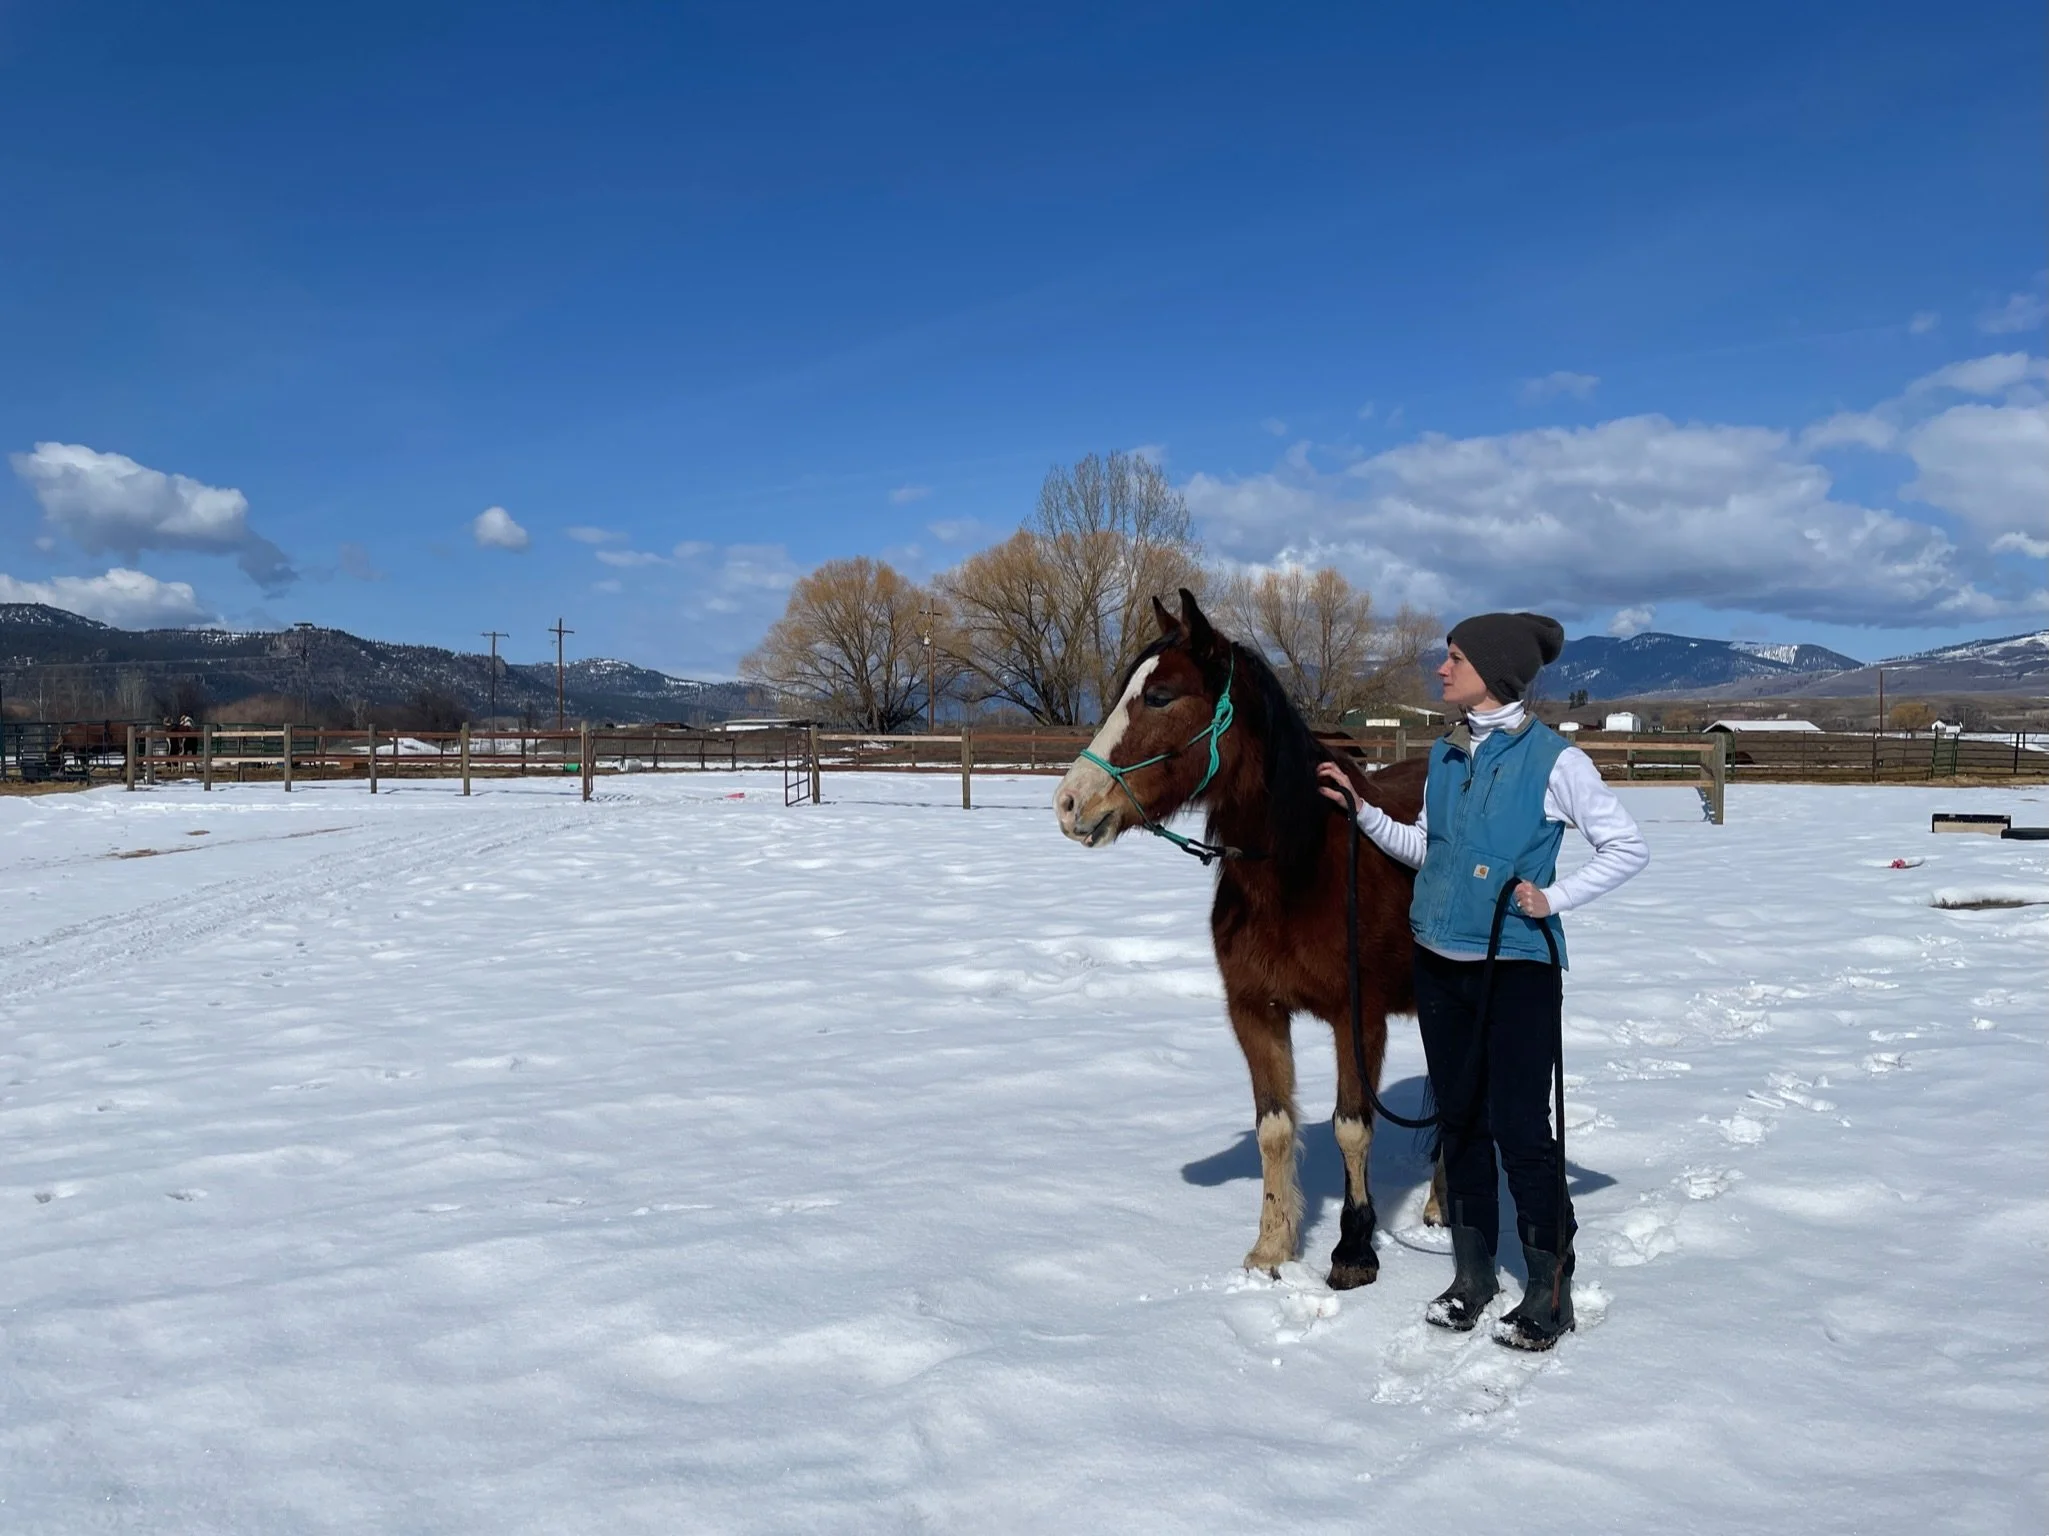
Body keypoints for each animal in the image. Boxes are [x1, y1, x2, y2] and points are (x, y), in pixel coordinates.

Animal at [1053, 588, 1433, 1289]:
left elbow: (1352, 1128)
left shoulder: (1358, 1018)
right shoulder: (1255, 1011)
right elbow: (1274, 1128)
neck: (1296, 869)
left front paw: (1354, 1250)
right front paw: (1272, 1247)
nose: (1069, 804)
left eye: (1160, 696)